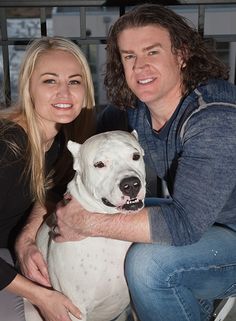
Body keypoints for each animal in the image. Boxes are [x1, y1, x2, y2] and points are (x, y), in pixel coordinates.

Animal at [27, 129, 146, 320]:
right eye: (99, 164)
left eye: (135, 156)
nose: (131, 184)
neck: (108, 236)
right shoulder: (73, 309)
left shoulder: (135, 305)